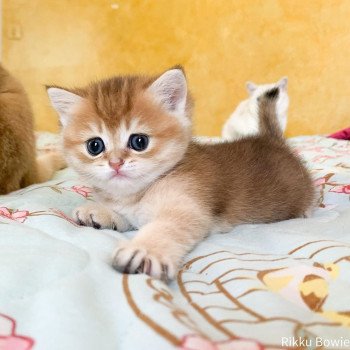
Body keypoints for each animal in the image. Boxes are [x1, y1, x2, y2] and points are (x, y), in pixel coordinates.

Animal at [47, 67, 314, 282]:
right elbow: (127, 217)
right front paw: (101, 212)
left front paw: (145, 250)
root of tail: (271, 139)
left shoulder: (188, 206)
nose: (115, 163)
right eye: (95, 146)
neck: (139, 194)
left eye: (139, 141)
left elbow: (166, 227)